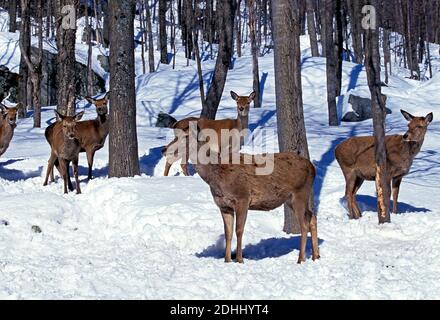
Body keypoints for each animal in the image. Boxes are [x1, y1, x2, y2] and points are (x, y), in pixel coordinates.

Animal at [187, 126, 318, 264]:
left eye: (185, 135)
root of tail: (313, 168)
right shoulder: (224, 206)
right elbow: (228, 233)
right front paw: (227, 260)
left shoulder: (243, 198)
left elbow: (239, 230)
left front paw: (239, 259)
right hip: (291, 199)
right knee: (312, 216)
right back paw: (316, 256)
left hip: (300, 193)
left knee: (304, 225)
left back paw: (301, 259)